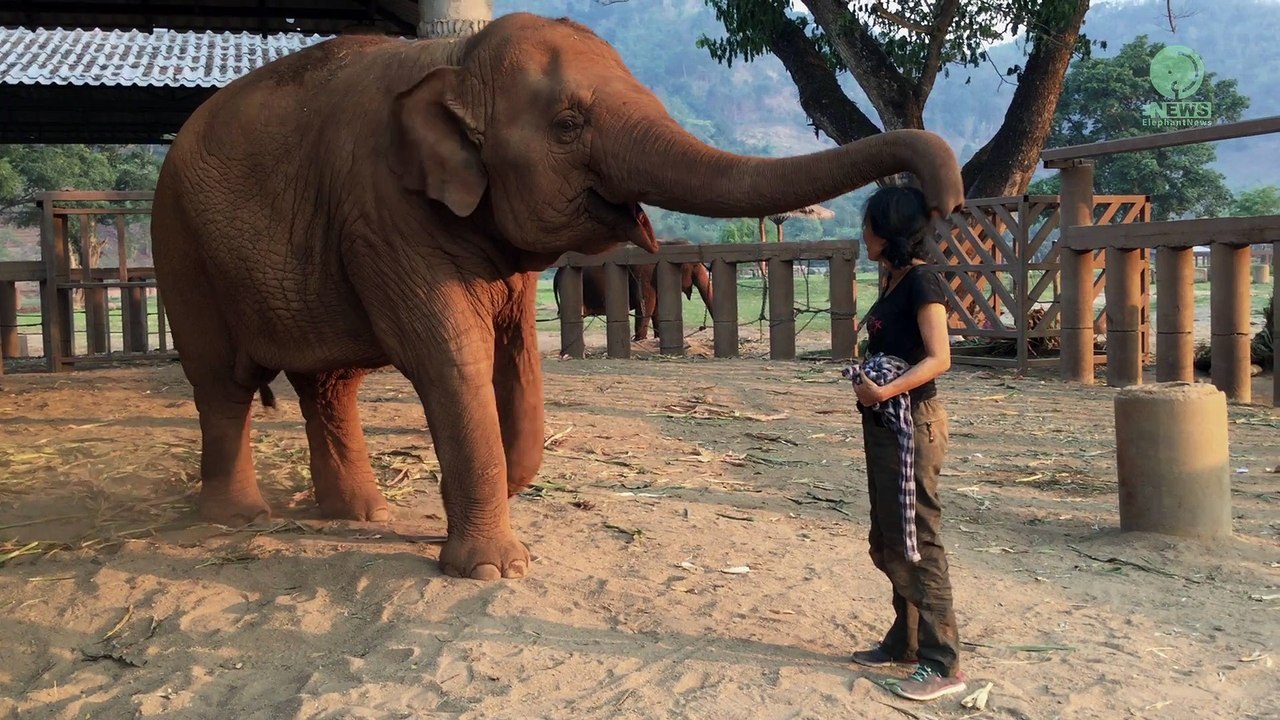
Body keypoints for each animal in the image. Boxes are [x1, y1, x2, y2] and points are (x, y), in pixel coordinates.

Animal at [551, 238, 714, 342]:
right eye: (696, 265)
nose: (703, 327)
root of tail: (556, 274)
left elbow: (657, 308)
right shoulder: (644, 275)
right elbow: (647, 304)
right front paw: (639, 341)